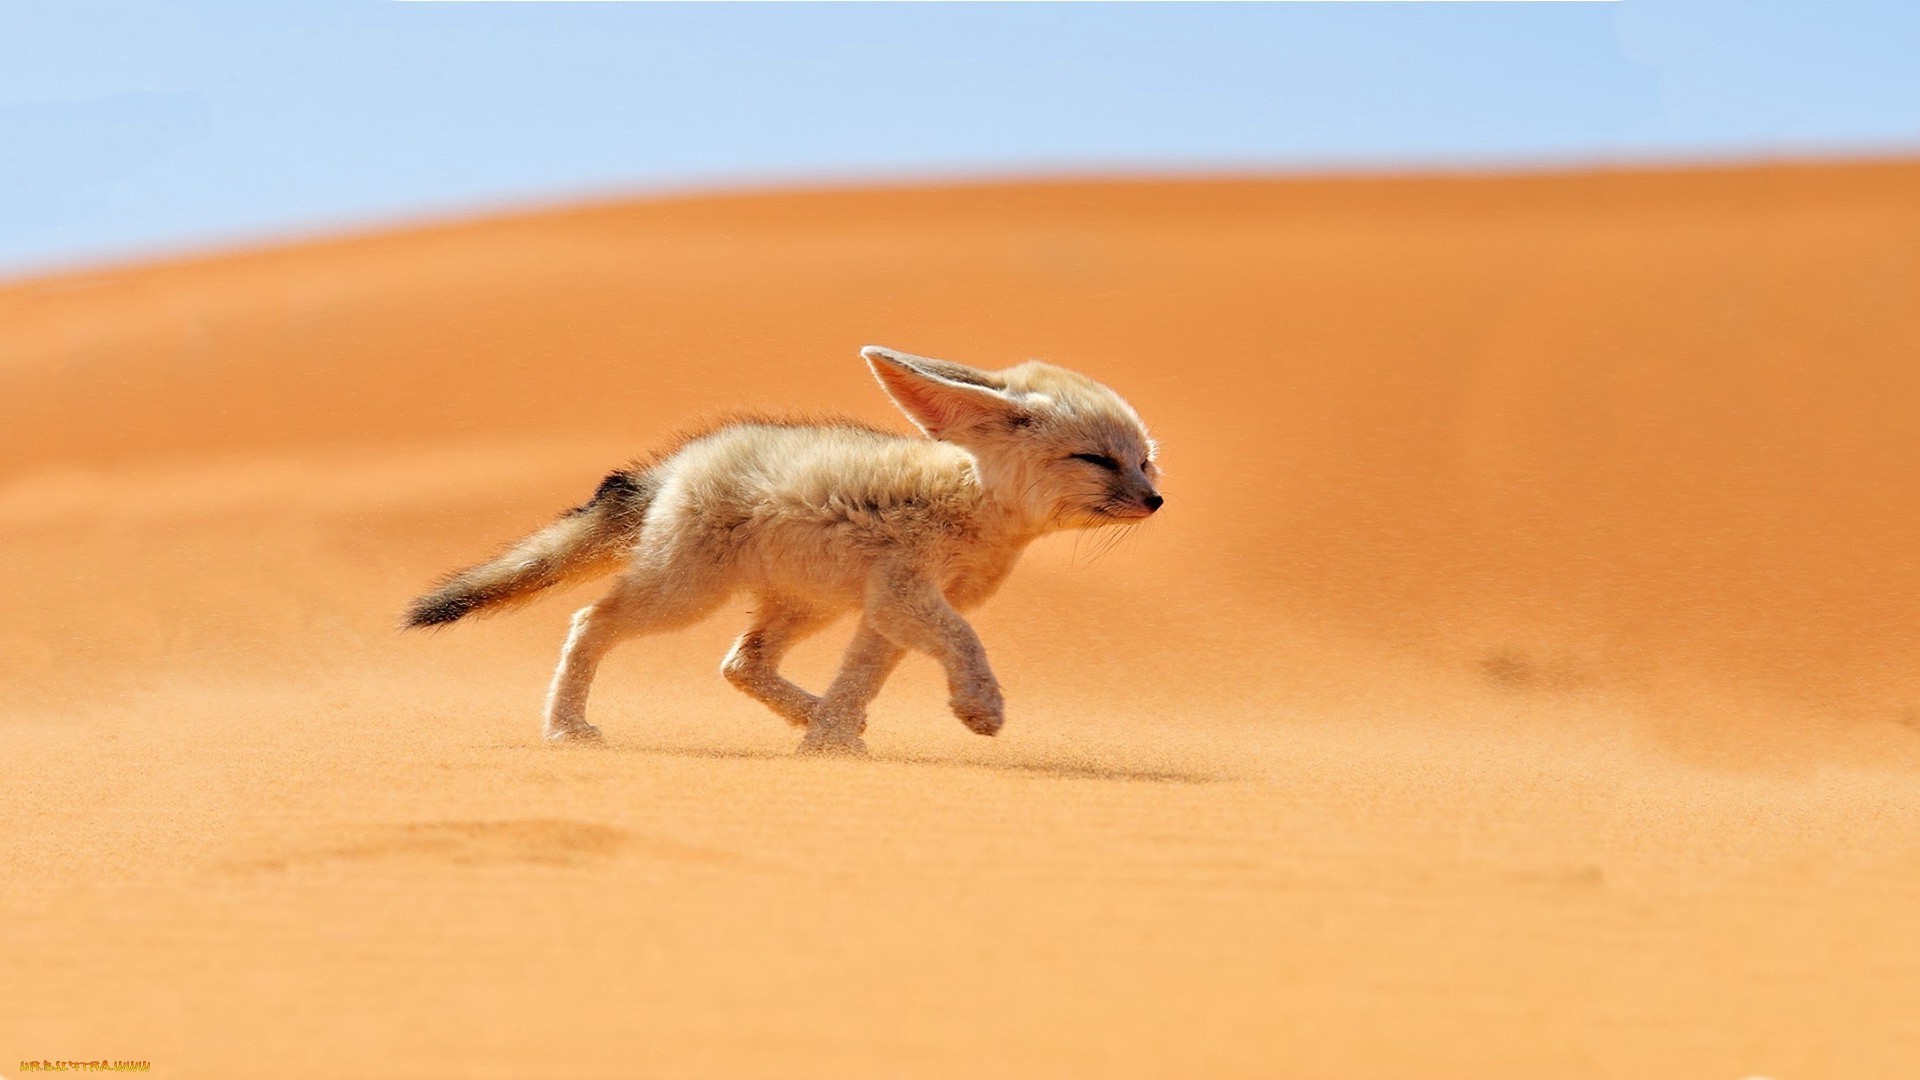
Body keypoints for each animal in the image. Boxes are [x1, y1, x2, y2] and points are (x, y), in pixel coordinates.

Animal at [403, 342, 1152, 749]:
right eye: (1096, 460)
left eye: (1145, 462)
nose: (1156, 502)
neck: (974, 505)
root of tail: (677, 464)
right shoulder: (907, 596)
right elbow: (965, 642)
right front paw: (980, 707)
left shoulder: (887, 611)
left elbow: (860, 679)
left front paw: (828, 743)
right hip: (683, 597)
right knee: (591, 621)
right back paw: (564, 728)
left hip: (806, 605)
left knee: (741, 663)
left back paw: (815, 717)